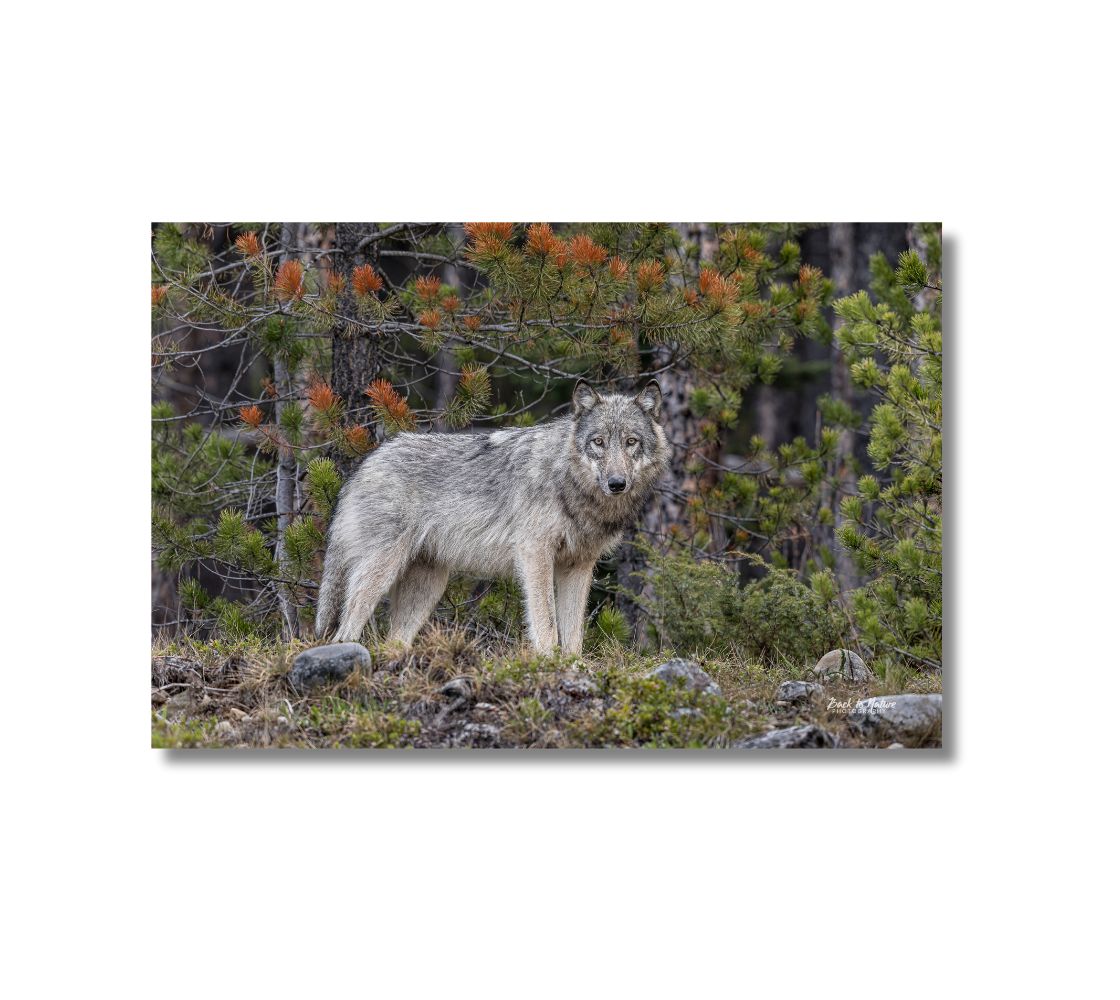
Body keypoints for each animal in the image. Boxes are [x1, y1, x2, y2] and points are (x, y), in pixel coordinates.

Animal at [315, 378, 669, 653]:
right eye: (598, 442)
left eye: (631, 442)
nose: (617, 483)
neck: (568, 480)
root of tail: (363, 465)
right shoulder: (534, 553)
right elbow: (547, 622)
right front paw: (549, 661)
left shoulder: (579, 565)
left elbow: (574, 635)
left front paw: (573, 665)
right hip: (381, 571)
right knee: (344, 629)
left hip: (427, 587)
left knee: (395, 641)